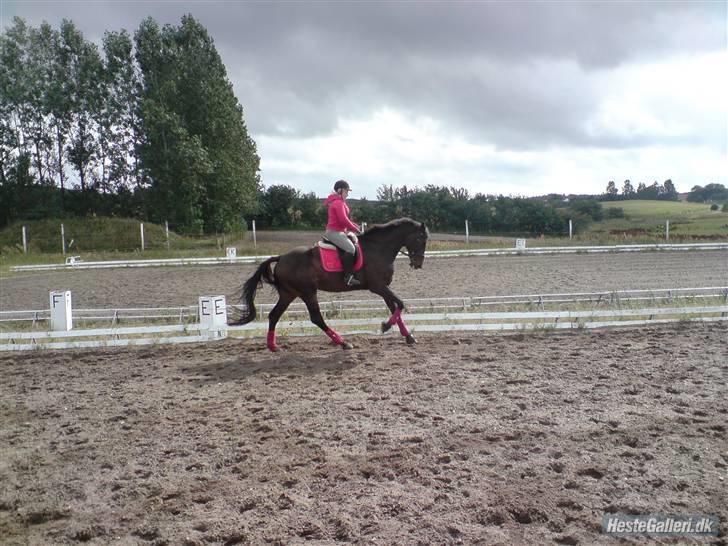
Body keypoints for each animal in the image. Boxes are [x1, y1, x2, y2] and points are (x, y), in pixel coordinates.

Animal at [232, 216, 426, 348]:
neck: (379, 248)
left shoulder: (384, 287)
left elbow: (395, 308)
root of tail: (281, 258)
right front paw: (385, 326)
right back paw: (343, 343)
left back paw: (272, 346)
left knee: (274, 315)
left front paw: (408, 336)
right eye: (420, 238)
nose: (418, 264)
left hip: (289, 293)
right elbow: (401, 304)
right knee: (316, 318)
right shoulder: (377, 286)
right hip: (308, 292)